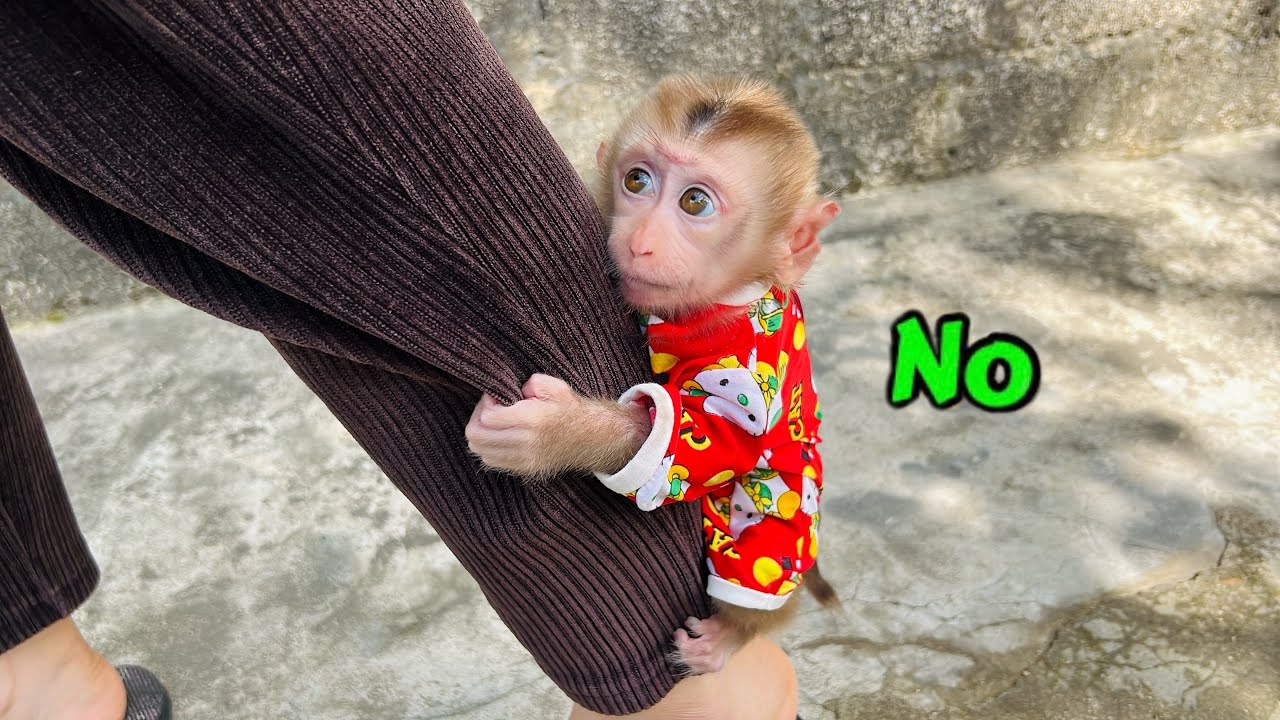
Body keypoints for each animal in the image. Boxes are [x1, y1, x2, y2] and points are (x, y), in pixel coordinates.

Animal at [465, 75, 841, 675]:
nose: (640, 240)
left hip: (790, 513)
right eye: (636, 180)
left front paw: (558, 433)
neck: (709, 305)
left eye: (695, 202)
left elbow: (700, 445)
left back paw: (736, 631)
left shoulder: (747, 359)